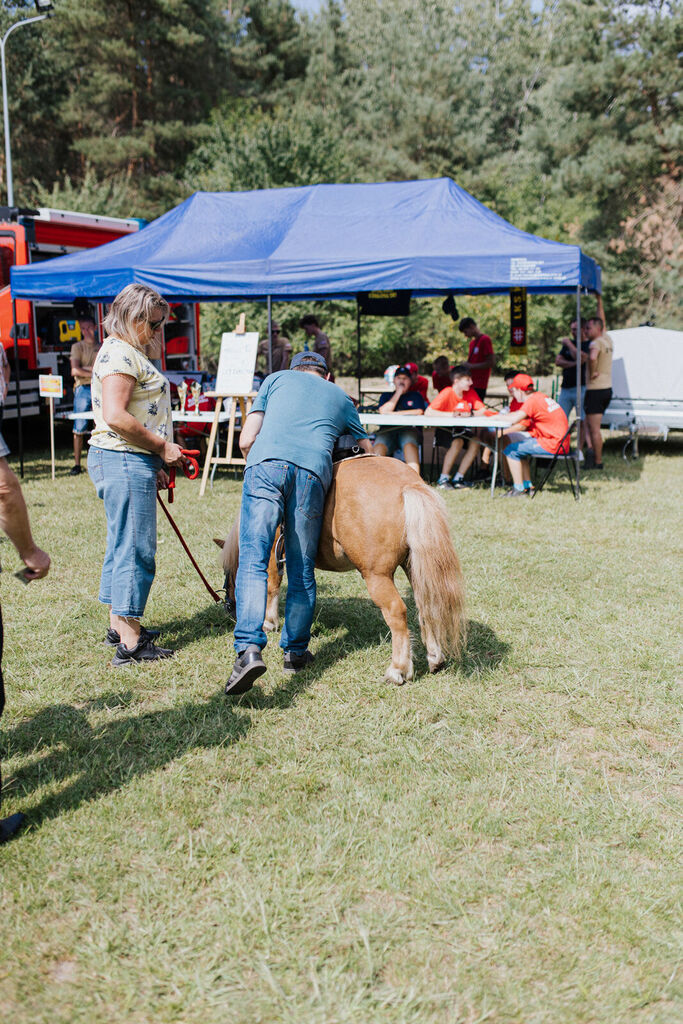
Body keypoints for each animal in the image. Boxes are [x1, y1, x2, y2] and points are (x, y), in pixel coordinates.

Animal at [219, 454, 464, 679]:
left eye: (228, 574)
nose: (229, 609)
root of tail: (407, 484)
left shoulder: (272, 553)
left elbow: (272, 585)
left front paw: (269, 622)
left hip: (377, 576)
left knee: (397, 612)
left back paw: (399, 669)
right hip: (414, 568)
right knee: (427, 606)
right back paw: (435, 657)